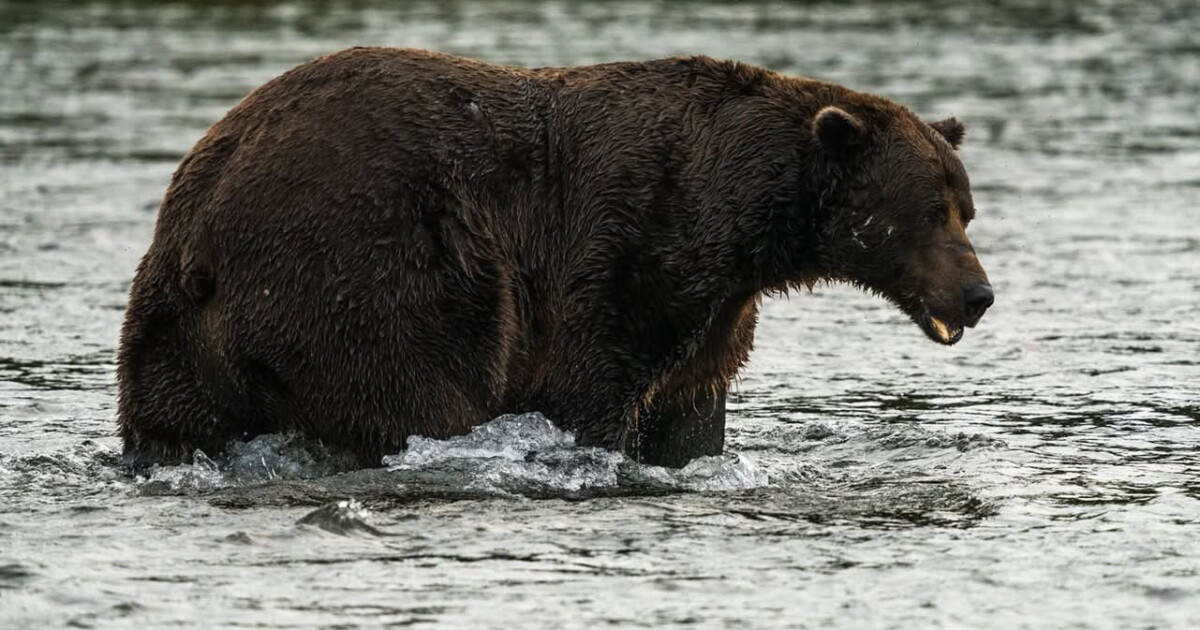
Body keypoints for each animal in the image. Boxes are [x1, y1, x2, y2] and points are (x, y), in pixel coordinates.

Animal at [117, 47, 993, 469]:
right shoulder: (634, 245)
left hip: (172, 333)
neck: (743, 223)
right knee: (415, 390)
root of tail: (200, 233)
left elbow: (692, 406)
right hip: (367, 269)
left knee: (171, 420)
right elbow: (592, 386)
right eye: (929, 210)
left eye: (967, 206)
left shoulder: (718, 305)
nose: (979, 294)